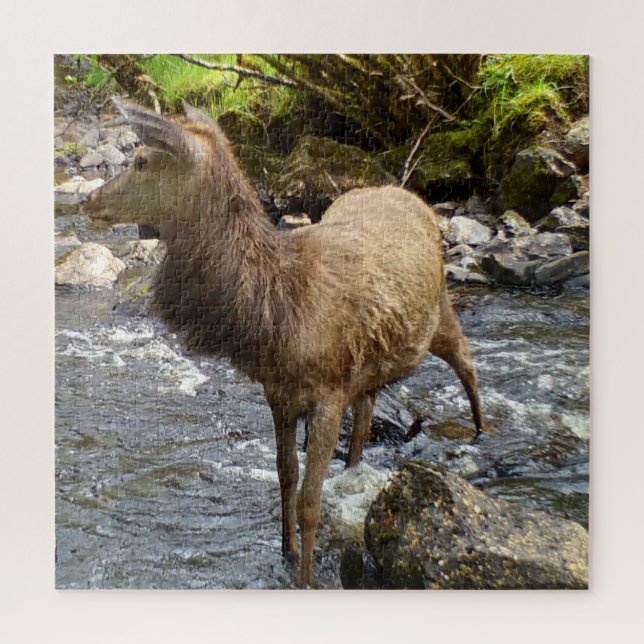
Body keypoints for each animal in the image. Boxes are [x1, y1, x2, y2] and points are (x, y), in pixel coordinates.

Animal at [81, 97, 486, 587]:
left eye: (141, 161)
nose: (88, 200)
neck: (276, 317)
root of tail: (413, 196)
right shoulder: (279, 393)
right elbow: (285, 477)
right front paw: (286, 552)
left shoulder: (328, 392)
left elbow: (310, 500)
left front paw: (307, 576)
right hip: (369, 364)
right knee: (368, 410)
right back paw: (355, 465)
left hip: (441, 311)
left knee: (466, 361)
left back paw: (481, 433)